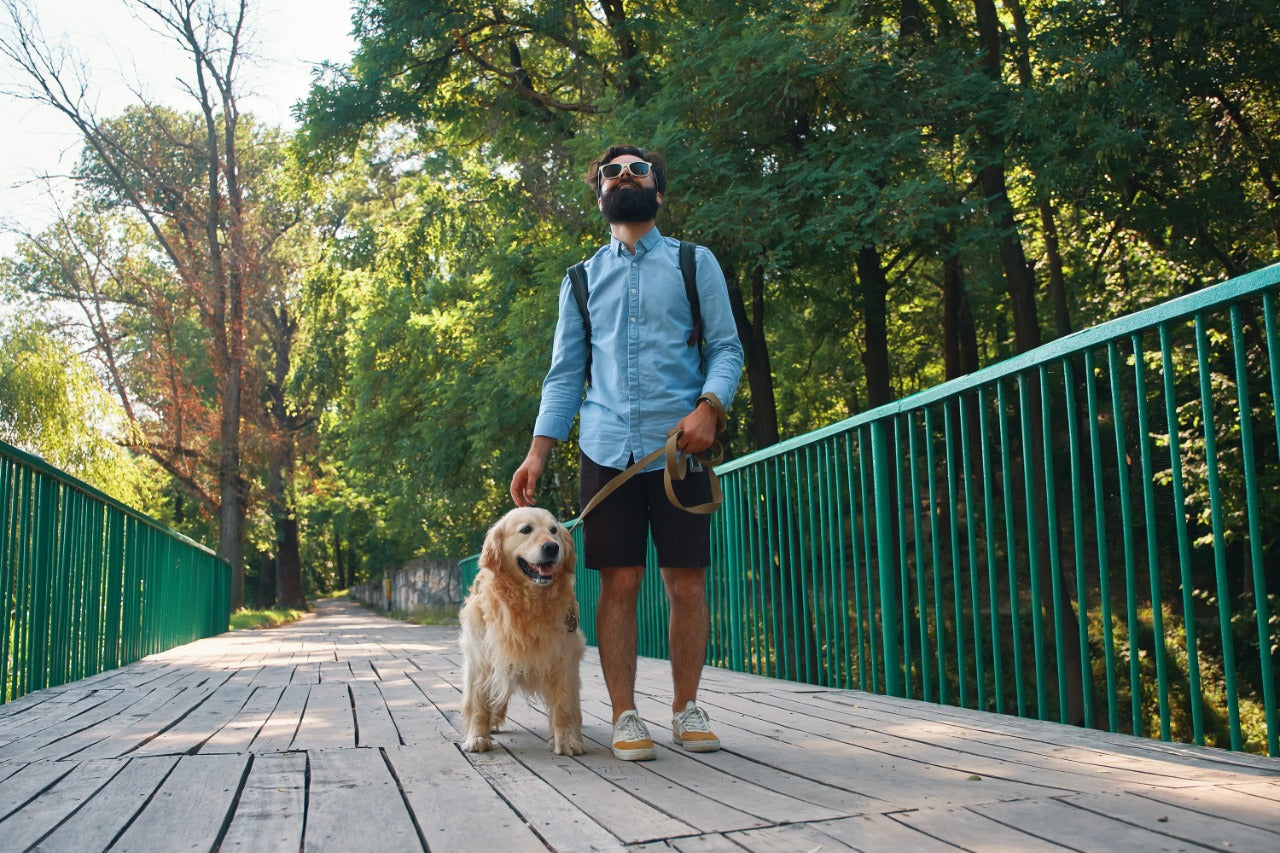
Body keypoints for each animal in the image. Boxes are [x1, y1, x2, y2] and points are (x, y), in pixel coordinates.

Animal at [460, 504, 586, 753]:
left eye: (554, 530)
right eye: (526, 529)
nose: (552, 547)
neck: (528, 601)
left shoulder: (564, 657)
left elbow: (565, 704)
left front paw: (568, 739)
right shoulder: (481, 657)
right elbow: (478, 703)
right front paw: (477, 737)